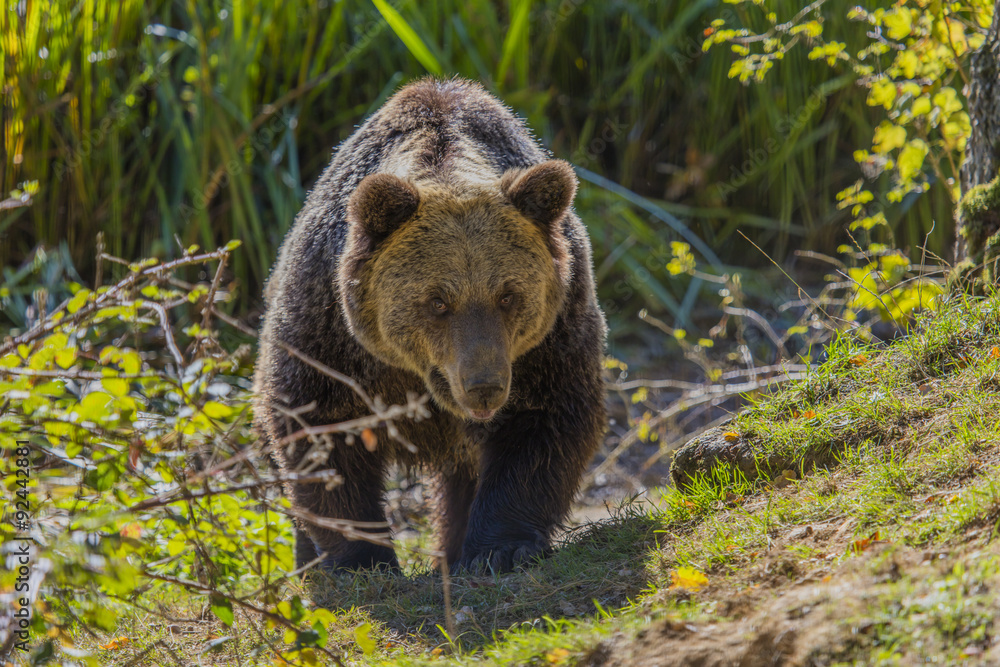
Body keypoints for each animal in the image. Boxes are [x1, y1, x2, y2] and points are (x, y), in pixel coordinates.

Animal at [254, 75, 604, 572]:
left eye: (508, 296)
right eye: (438, 302)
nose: (484, 386)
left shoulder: (553, 332)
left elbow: (547, 419)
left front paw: (502, 547)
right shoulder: (328, 331)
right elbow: (319, 425)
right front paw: (360, 555)